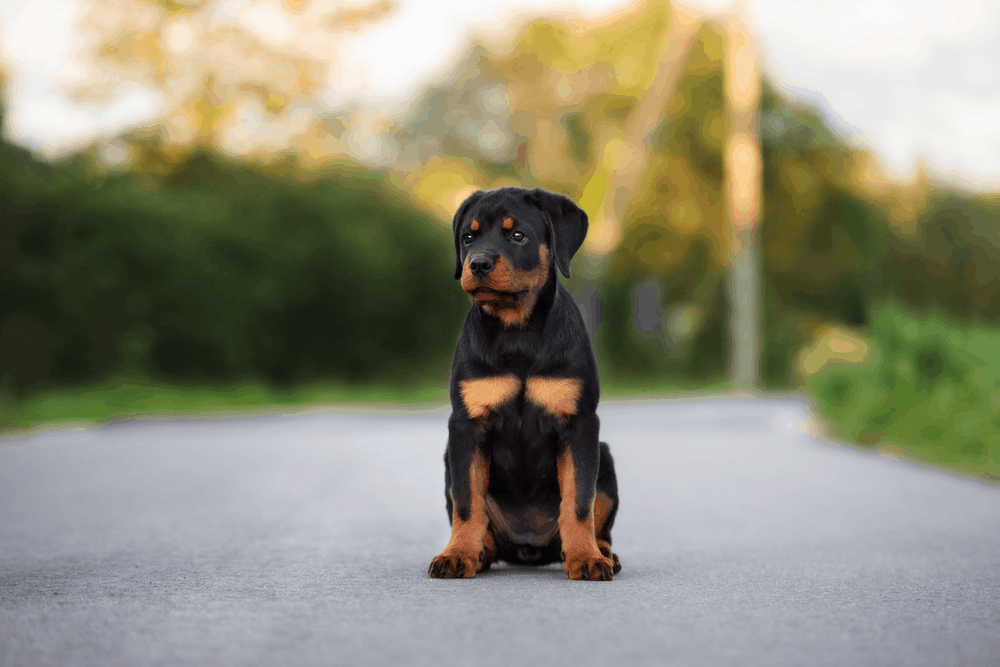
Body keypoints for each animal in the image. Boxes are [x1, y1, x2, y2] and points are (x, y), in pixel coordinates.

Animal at [426, 187, 620, 580]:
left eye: (518, 235)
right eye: (467, 237)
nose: (478, 263)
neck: (517, 333)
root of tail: (528, 549)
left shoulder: (579, 423)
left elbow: (579, 501)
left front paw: (586, 558)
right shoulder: (466, 425)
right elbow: (467, 502)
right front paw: (457, 555)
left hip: (604, 455)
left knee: (597, 521)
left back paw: (603, 552)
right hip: (449, 459)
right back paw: (479, 552)